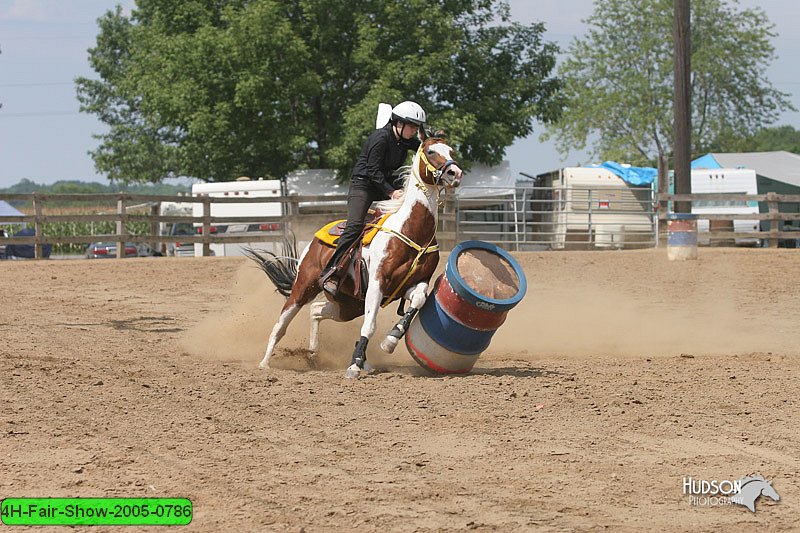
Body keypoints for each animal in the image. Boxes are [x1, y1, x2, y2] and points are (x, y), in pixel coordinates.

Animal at [248, 137, 462, 378]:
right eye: (431, 151)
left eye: (451, 151)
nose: (455, 173)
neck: (412, 230)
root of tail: (311, 244)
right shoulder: (378, 283)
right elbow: (370, 324)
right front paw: (354, 365)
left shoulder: (412, 285)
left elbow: (417, 301)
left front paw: (389, 341)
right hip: (304, 287)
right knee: (282, 323)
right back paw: (265, 362)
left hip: (348, 306)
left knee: (316, 310)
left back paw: (314, 352)